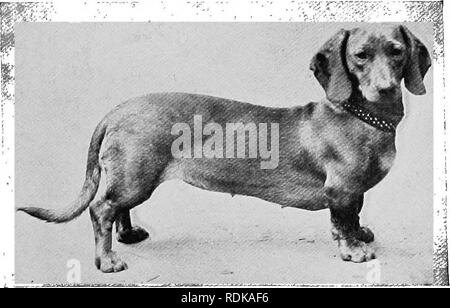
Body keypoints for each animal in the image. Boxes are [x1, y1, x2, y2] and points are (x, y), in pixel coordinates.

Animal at [19, 25, 430, 274]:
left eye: (396, 51)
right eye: (360, 55)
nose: (386, 89)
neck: (364, 117)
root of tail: (116, 111)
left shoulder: (353, 192)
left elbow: (354, 215)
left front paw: (360, 234)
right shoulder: (341, 189)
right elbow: (344, 220)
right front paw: (354, 250)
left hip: (134, 179)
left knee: (118, 209)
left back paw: (129, 235)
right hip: (136, 178)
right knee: (102, 208)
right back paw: (107, 260)